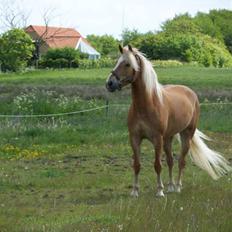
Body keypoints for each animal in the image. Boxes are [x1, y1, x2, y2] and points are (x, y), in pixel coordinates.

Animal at [105, 44, 232, 197]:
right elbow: (137, 165)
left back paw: (177, 187)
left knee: (181, 161)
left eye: (127, 64)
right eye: (117, 62)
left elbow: (157, 165)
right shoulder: (134, 138)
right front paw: (135, 191)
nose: (110, 83)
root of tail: (191, 93)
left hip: (186, 135)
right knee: (171, 161)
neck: (146, 105)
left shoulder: (157, 139)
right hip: (168, 138)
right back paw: (170, 186)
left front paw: (160, 191)